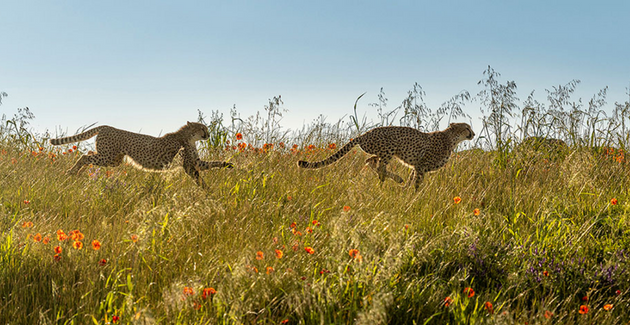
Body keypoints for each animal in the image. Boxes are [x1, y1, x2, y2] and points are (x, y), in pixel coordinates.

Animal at [48, 121, 233, 187]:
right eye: (202, 128)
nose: (208, 134)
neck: (188, 137)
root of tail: (106, 126)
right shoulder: (188, 165)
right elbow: (199, 174)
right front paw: (206, 189)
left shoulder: (195, 163)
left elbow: (210, 165)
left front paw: (227, 165)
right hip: (108, 157)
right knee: (84, 156)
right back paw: (72, 172)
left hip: (113, 160)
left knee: (88, 154)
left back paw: (78, 173)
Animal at [300, 122, 474, 189]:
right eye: (466, 127)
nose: (473, 133)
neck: (451, 139)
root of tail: (365, 133)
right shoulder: (421, 166)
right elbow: (416, 184)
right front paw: (414, 195)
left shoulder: (417, 166)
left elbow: (412, 179)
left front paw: (405, 190)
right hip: (389, 149)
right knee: (379, 166)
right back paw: (395, 178)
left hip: (380, 152)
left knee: (370, 161)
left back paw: (392, 179)